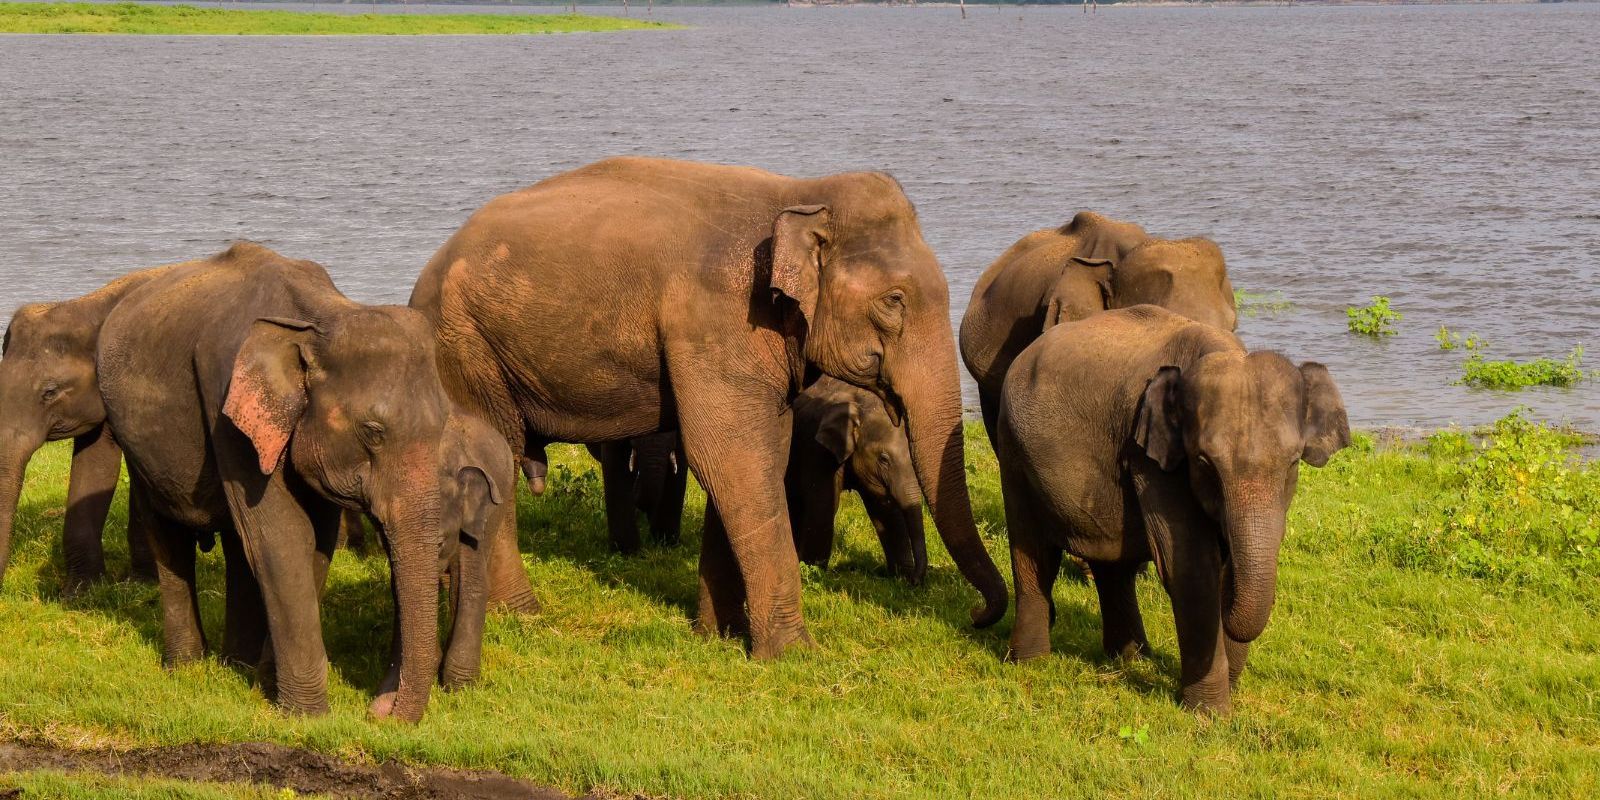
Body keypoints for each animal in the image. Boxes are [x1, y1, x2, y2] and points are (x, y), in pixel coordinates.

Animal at [96, 242, 451, 722]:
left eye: (445, 424)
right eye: (373, 432)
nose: (380, 711)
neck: (320, 319)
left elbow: (314, 540)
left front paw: (270, 688)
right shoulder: (225, 401)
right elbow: (282, 538)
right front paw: (308, 716)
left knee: (236, 540)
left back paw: (237, 666)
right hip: (134, 439)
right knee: (167, 530)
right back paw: (186, 667)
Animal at [787, 375, 925, 582]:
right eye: (884, 459)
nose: (916, 580)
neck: (860, 402)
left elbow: (883, 507)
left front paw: (900, 577)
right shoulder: (815, 447)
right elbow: (823, 505)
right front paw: (812, 573)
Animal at [995, 305, 1348, 714]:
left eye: (1292, 464)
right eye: (1205, 464)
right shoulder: (1150, 457)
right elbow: (1191, 568)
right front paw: (1210, 714)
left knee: (1112, 561)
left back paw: (1130, 658)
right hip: (1013, 451)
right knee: (1034, 551)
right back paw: (1030, 663)